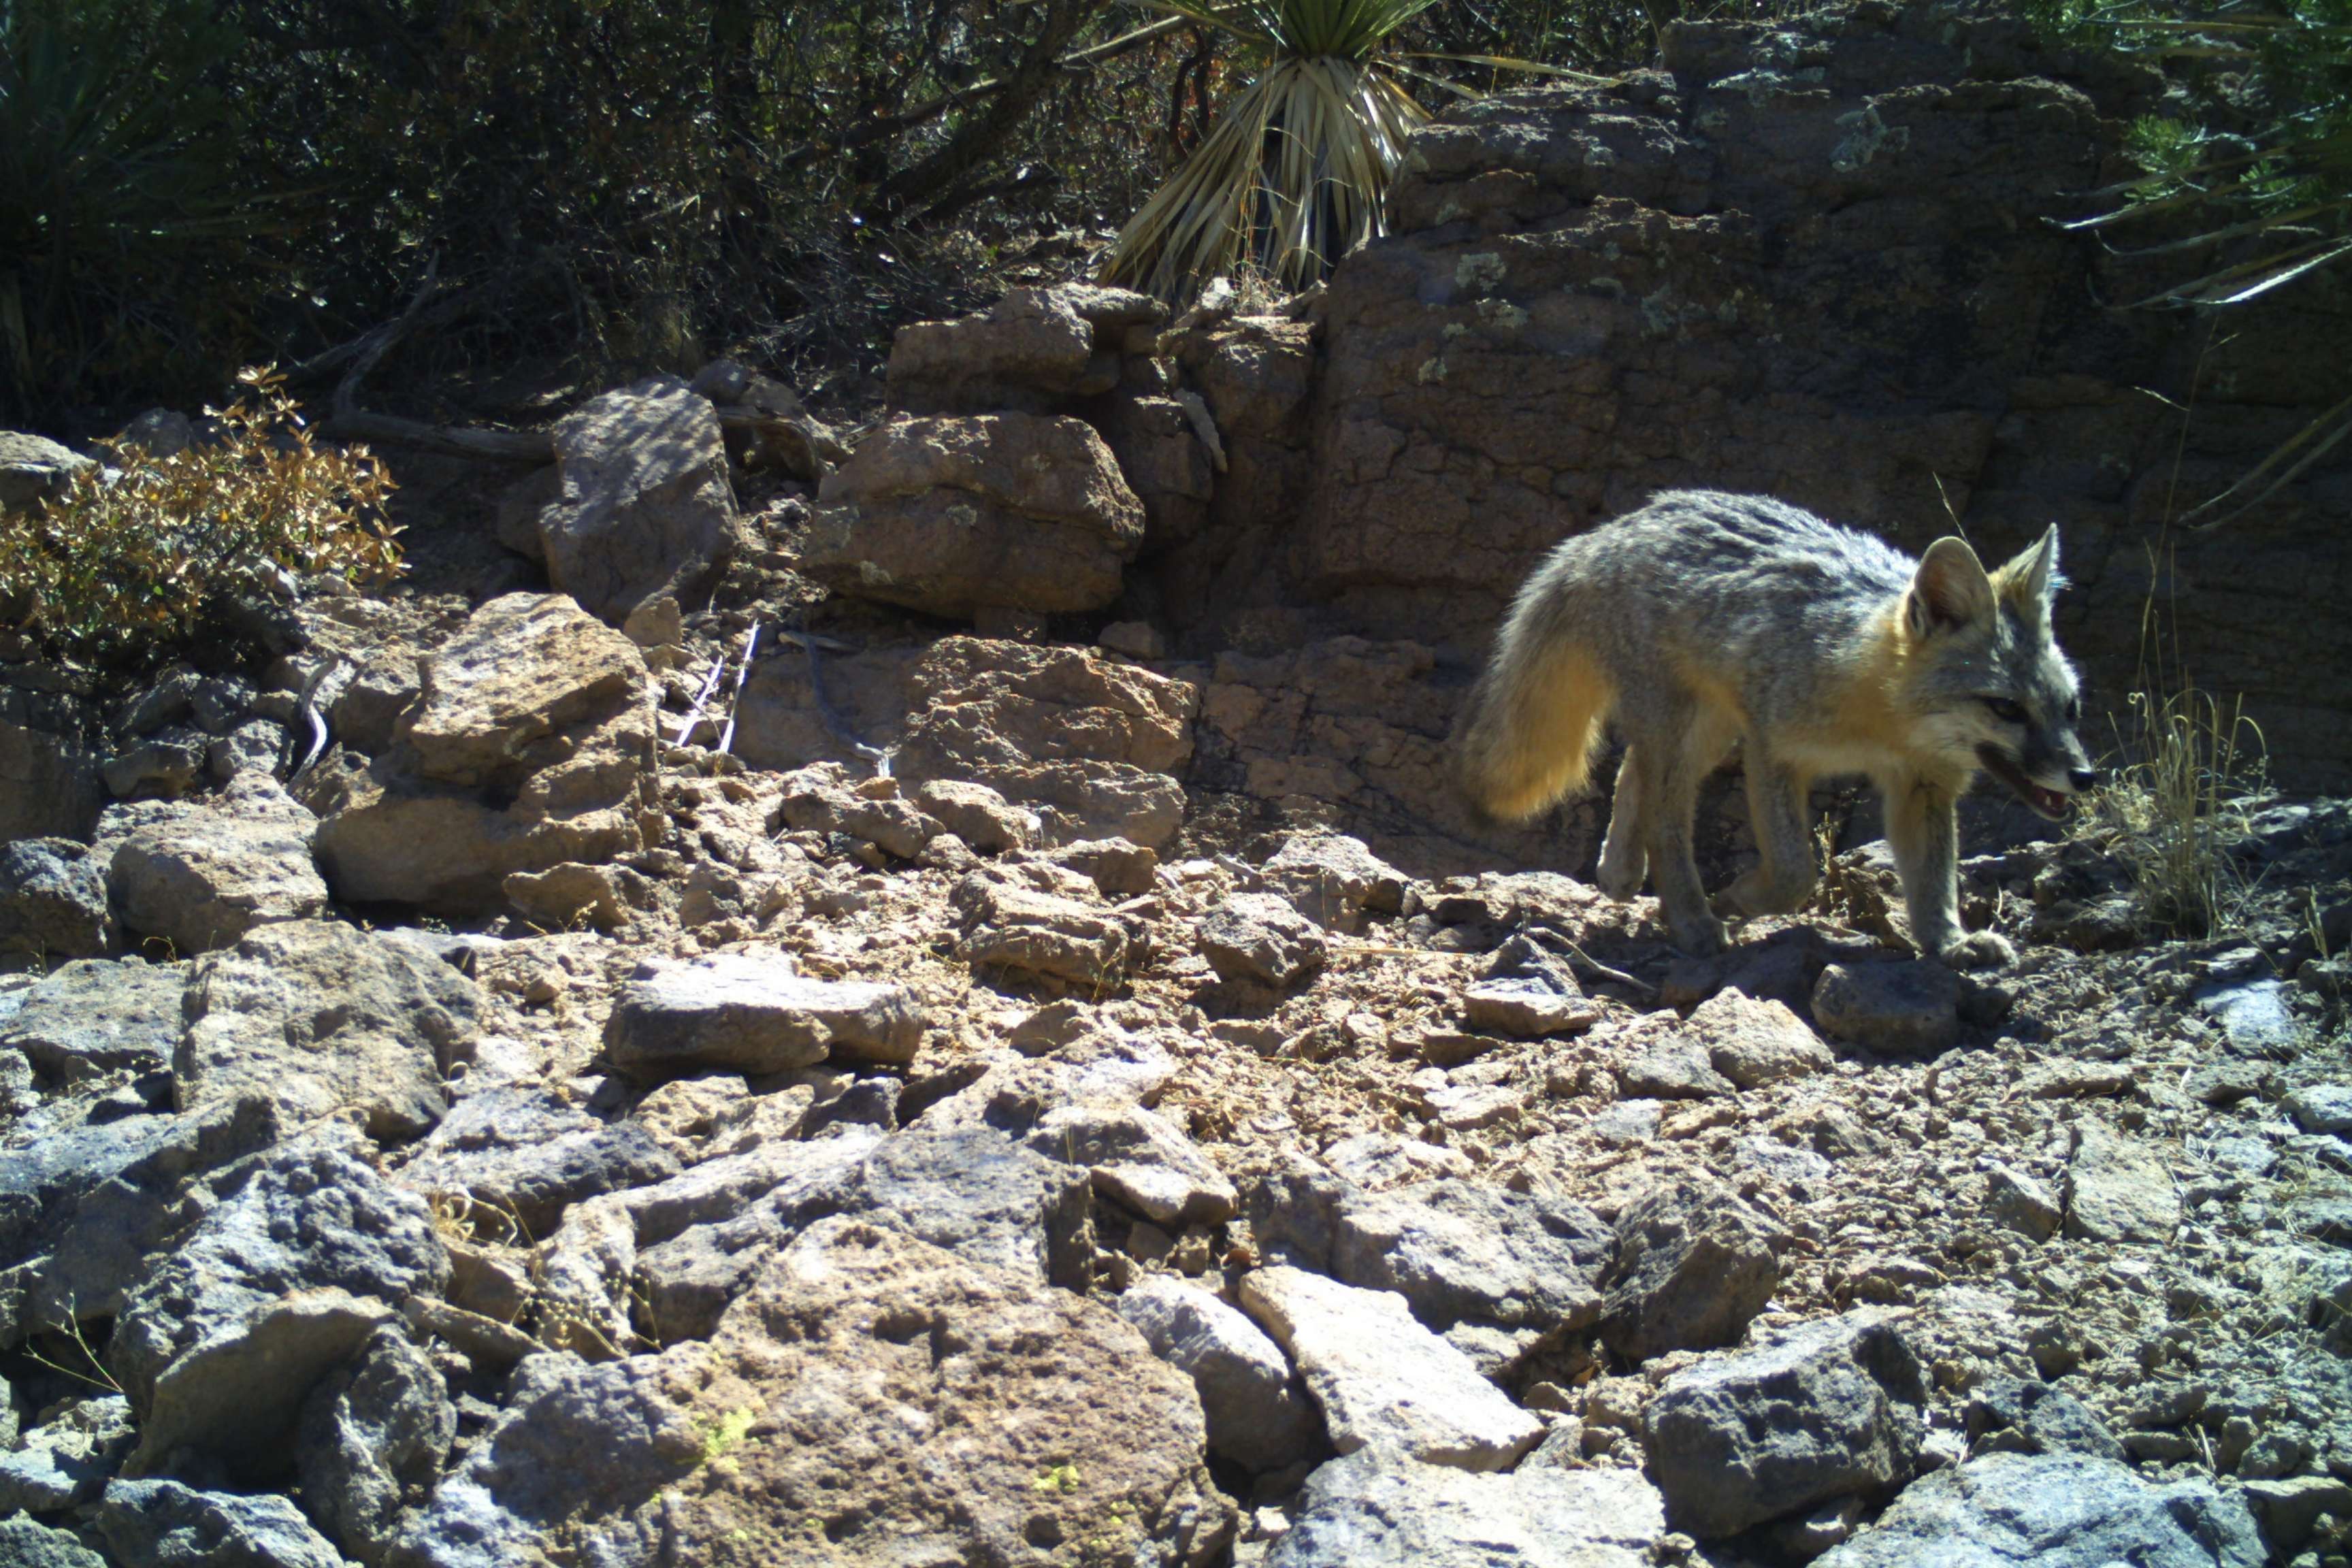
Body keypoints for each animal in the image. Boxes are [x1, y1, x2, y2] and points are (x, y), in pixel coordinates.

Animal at [1454, 490, 2097, 968]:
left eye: (2070, 708)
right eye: (2007, 708)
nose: (2085, 776)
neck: (1881, 720)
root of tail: (1614, 529)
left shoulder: (1923, 784)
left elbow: (1935, 882)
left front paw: (1950, 943)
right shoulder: (1774, 751)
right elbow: (1796, 873)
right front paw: (1742, 896)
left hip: (1706, 731)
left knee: (1632, 772)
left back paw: (1620, 871)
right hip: (1685, 728)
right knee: (1665, 819)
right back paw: (1691, 917)